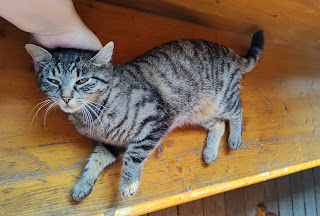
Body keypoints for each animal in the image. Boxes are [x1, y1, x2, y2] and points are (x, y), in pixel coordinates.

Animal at [25, 29, 264, 200]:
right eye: (53, 81)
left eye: (83, 80)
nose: (65, 98)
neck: (93, 115)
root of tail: (226, 50)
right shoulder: (112, 143)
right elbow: (95, 159)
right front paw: (83, 184)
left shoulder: (155, 122)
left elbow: (133, 157)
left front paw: (128, 184)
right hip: (198, 113)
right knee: (218, 125)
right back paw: (210, 152)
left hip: (222, 100)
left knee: (237, 109)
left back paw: (235, 138)